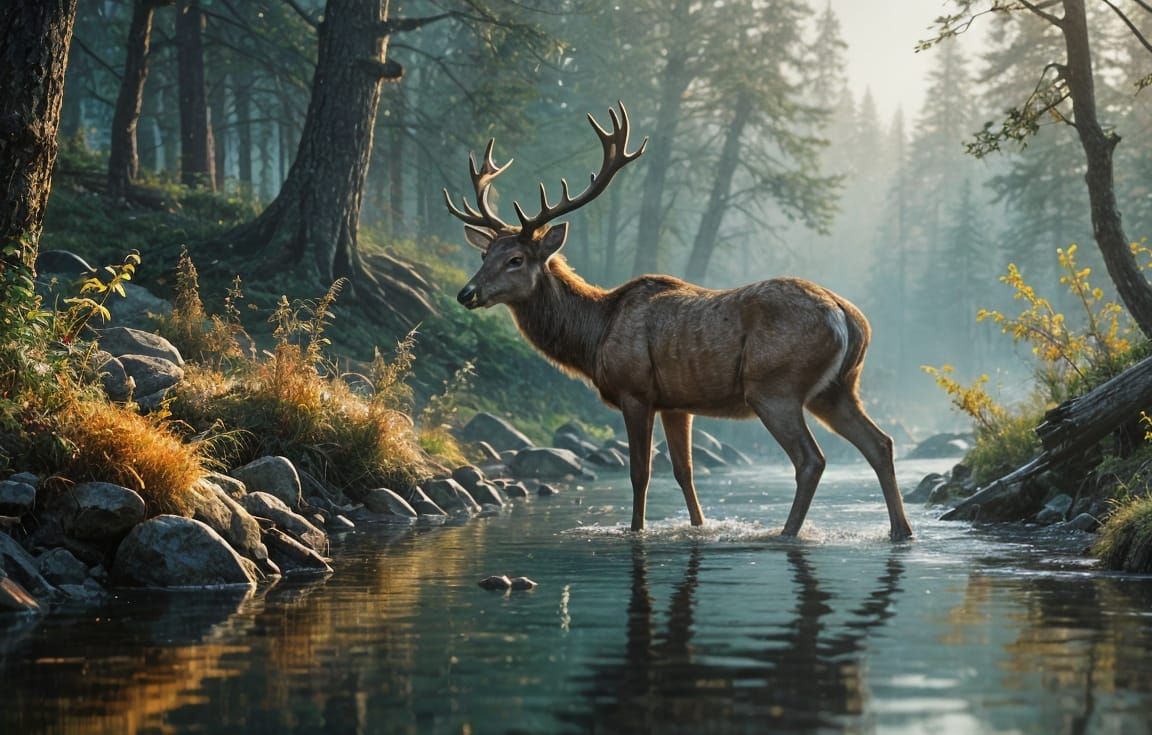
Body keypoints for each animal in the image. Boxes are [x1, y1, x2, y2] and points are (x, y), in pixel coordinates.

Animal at [444, 103, 913, 541]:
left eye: (516, 259)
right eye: (484, 253)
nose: (466, 293)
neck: (595, 335)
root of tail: (847, 317)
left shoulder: (635, 391)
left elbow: (640, 474)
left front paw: (636, 530)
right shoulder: (676, 403)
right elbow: (684, 474)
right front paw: (697, 526)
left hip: (775, 386)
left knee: (811, 459)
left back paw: (787, 532)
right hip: (837, 388)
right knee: (881, 443)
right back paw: (900, 530)